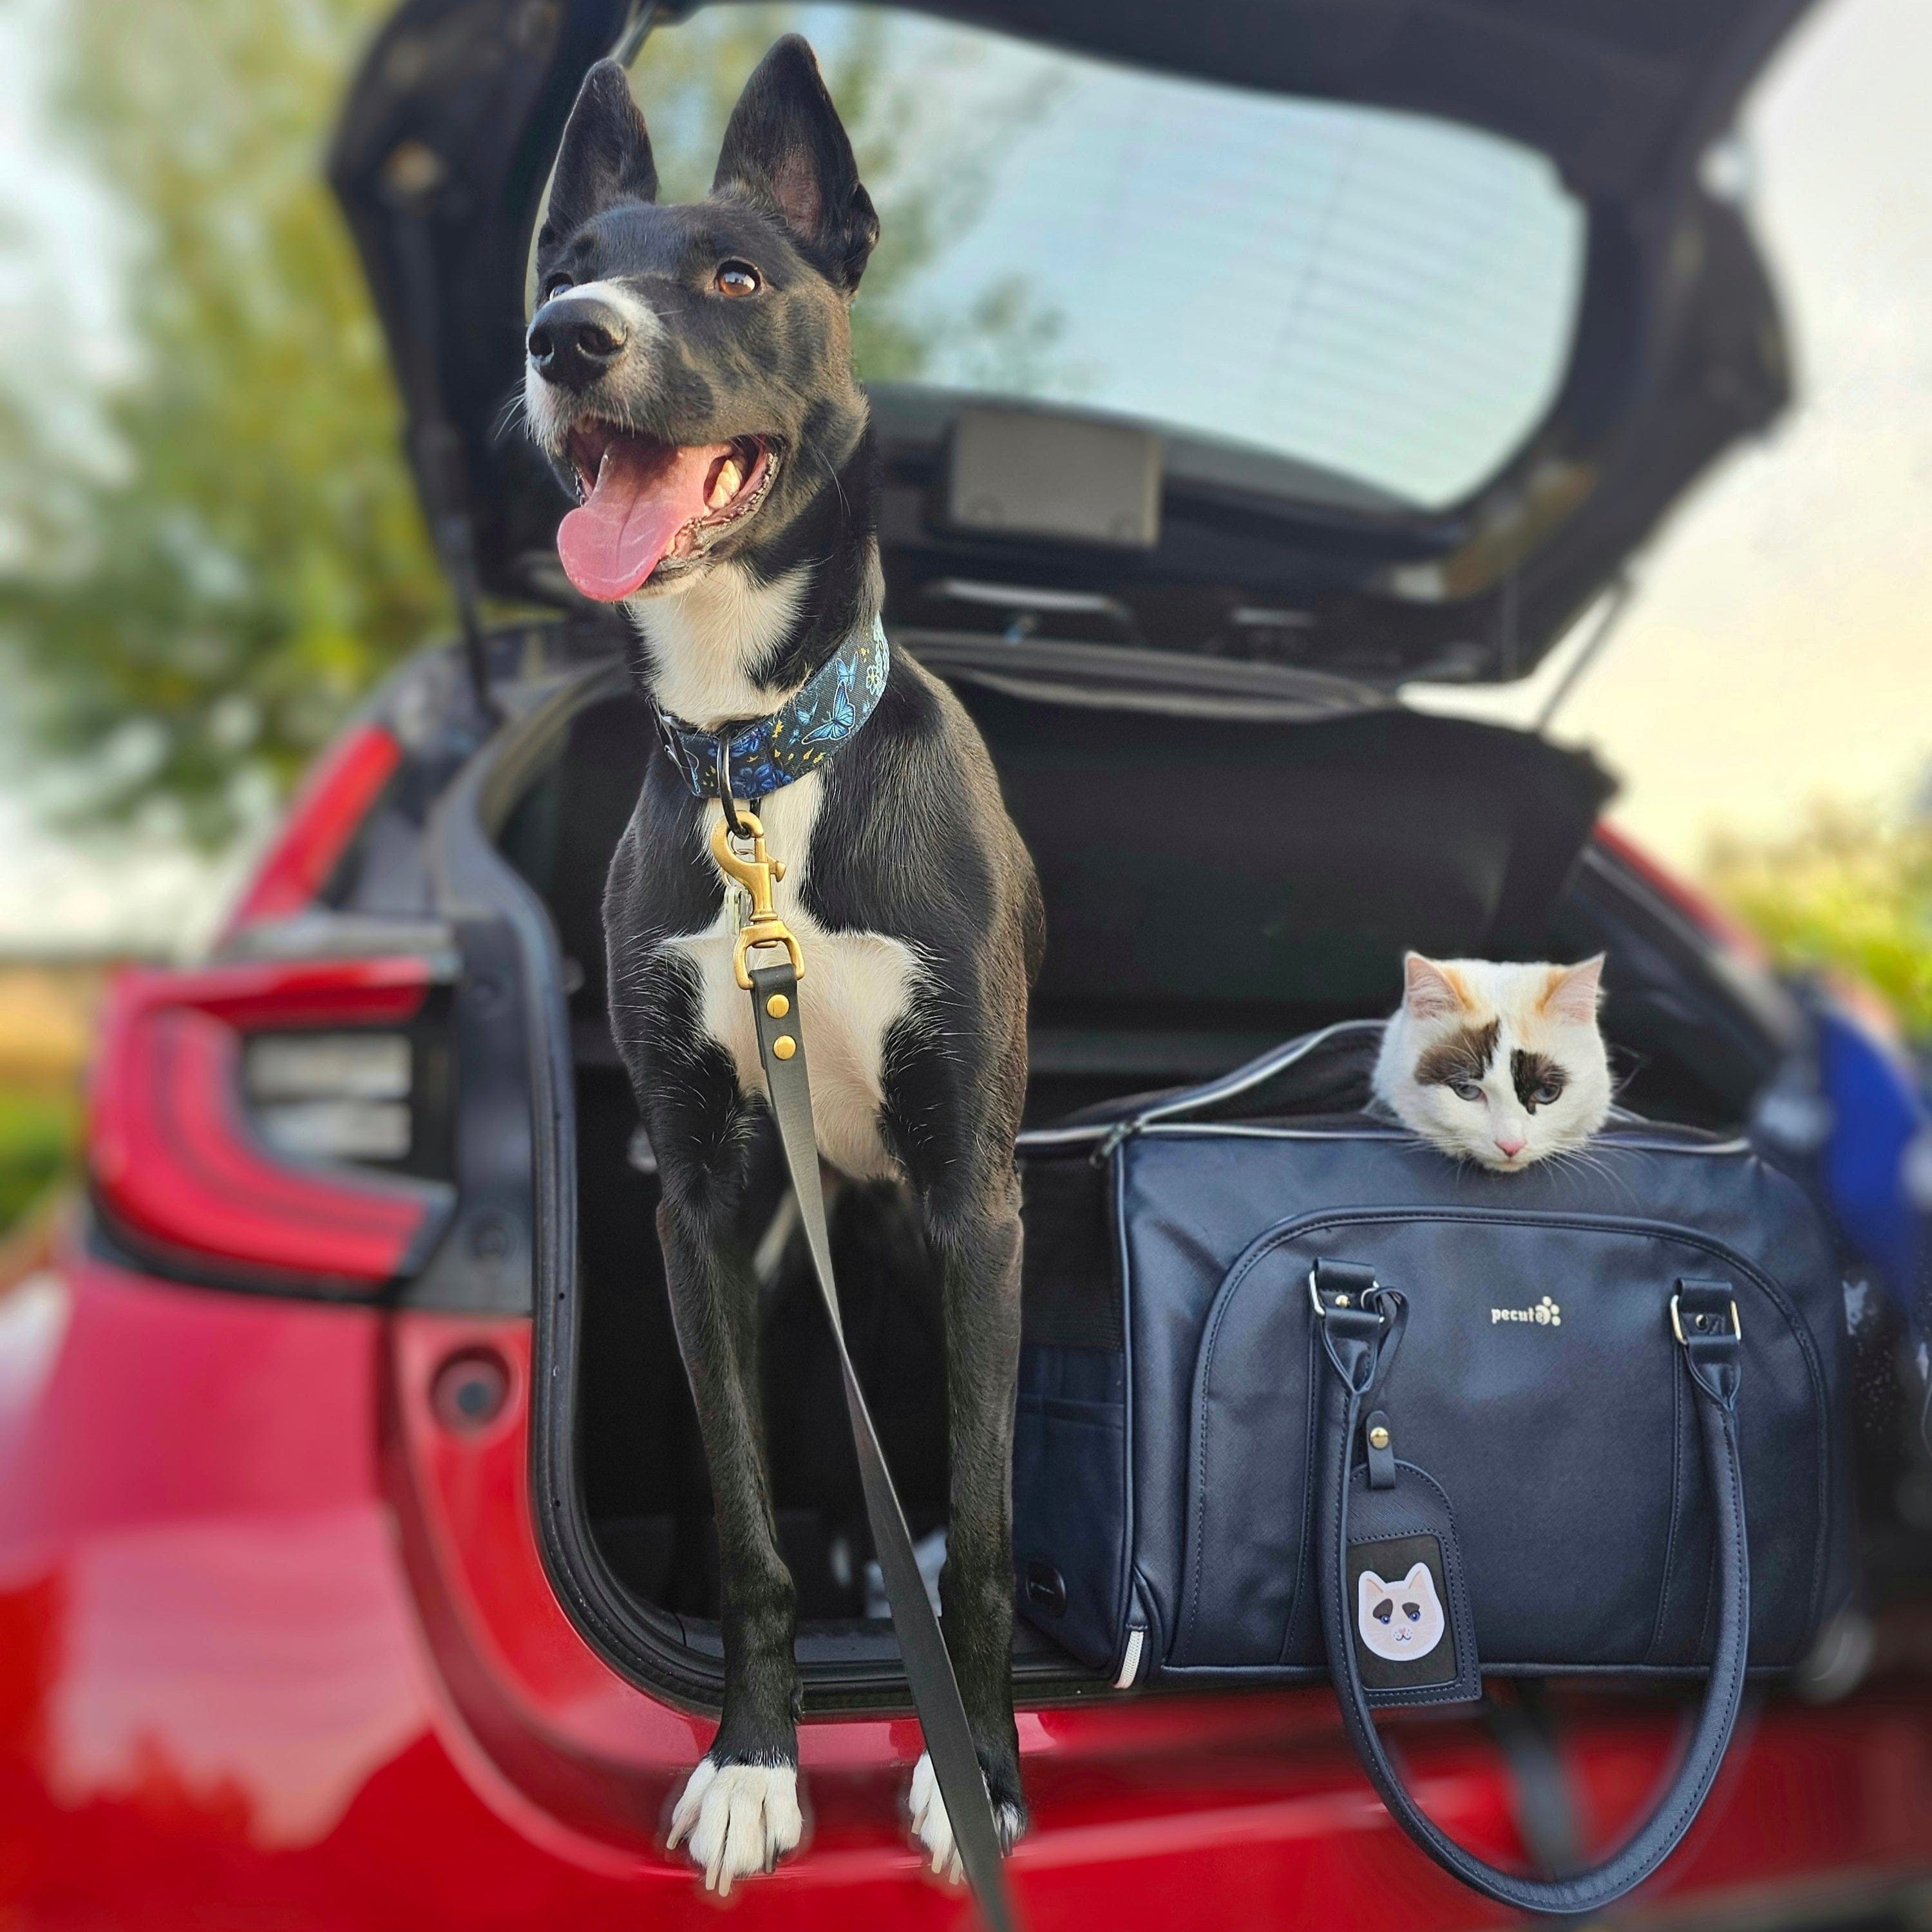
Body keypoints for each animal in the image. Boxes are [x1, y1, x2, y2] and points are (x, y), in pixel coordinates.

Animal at [523, 40, 1042, 1894]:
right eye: (559, 266)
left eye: (736, 276)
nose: (567, 338)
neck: (762, 759)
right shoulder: (698, 1210)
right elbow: (750, 1536)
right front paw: (755, 1761)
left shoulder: (976, 1206)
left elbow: (984, 1528)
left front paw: (984, 1779)